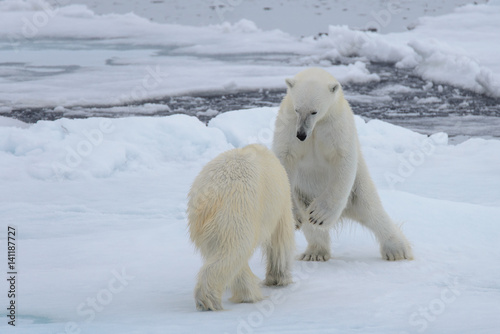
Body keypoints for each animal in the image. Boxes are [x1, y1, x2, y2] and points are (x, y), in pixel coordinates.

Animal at [188, 144, 296, 310]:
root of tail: (209, 200)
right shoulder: (281, 203)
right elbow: (281, 241)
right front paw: (279, 278)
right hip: (236, 215)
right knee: (234, 251)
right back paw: (213, 299)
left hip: (202, 225)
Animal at [272, 67, 412, 260]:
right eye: (297, 109)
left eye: (314, 111)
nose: (301, 134)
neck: (316, 127)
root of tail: (344, 214)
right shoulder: (288, 124)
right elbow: (284, 159)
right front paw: (296, 217)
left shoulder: (337, 124)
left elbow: (343, 159)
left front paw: (320, 214)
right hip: (302, 193)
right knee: (310, 221)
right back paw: (315, 252)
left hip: (357, 188)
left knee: (373, 211)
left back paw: (397, 250)